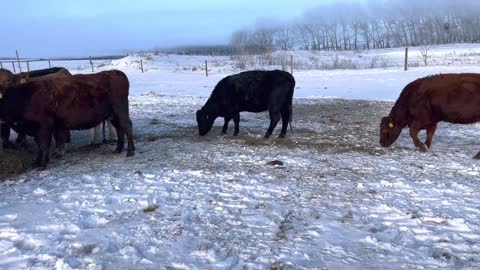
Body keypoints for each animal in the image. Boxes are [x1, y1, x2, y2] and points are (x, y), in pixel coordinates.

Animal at [0, 70, 134, 169]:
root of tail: (115, 72)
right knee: (119, 129)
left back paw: (130, 152)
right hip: (112, 115)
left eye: (7, 80)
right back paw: (118, 149)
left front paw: (42, 164)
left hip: (120, 109)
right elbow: (39, 145)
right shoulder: (36, 129)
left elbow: (43, 145)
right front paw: (37, 162)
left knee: (127, 126)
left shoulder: (44, 125)